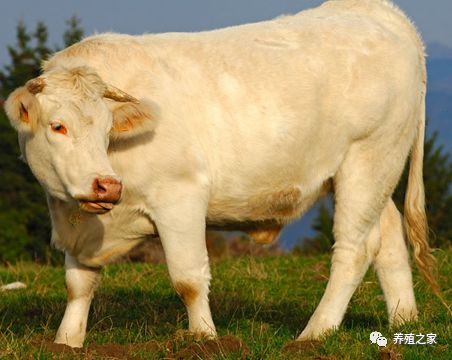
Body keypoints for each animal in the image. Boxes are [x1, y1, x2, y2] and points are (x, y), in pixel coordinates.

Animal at [3, 0, 438, 348]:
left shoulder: (180, 197)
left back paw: (314, 334)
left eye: (108, 129)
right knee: (388, 237)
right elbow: (79, 284)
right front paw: (66, 342)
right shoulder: (78, 223)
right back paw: (403, 321)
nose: (106, 185)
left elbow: (188, 279)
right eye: (58, 126)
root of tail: (377, 10)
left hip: (367, 159)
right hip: (373, 170)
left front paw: (204, 338)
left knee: (354, 248)